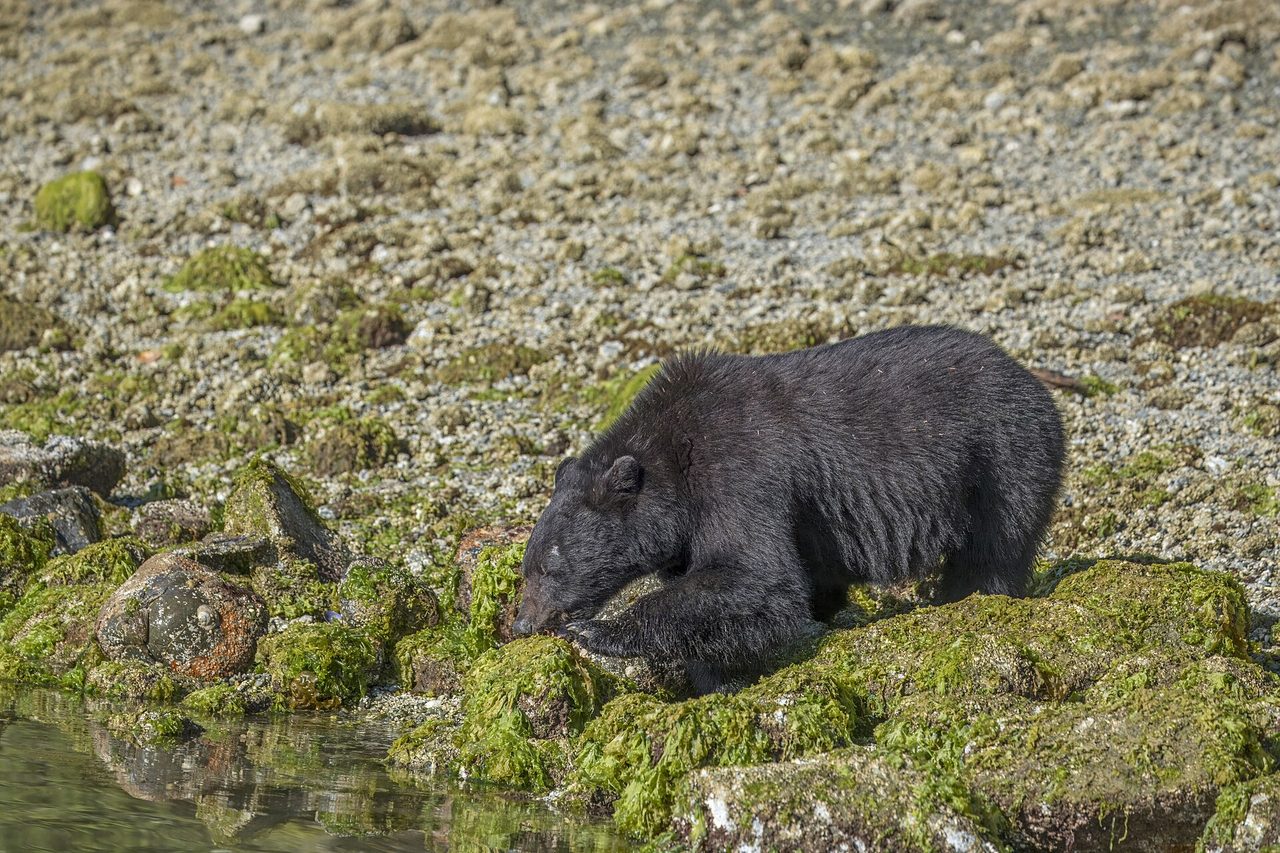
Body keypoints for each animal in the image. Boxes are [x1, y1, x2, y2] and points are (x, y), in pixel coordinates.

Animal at [513, 325, 1065, 693]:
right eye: (528, 567)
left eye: (551, 565)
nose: (522, 623)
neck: (673, 461)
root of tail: (1029, 376)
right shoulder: (689, 533)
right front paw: (715, 677)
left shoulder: (740, 472)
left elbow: (759, 577)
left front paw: (600, 630)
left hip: (1000, 458)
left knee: (996, 547)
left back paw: (966, 595)